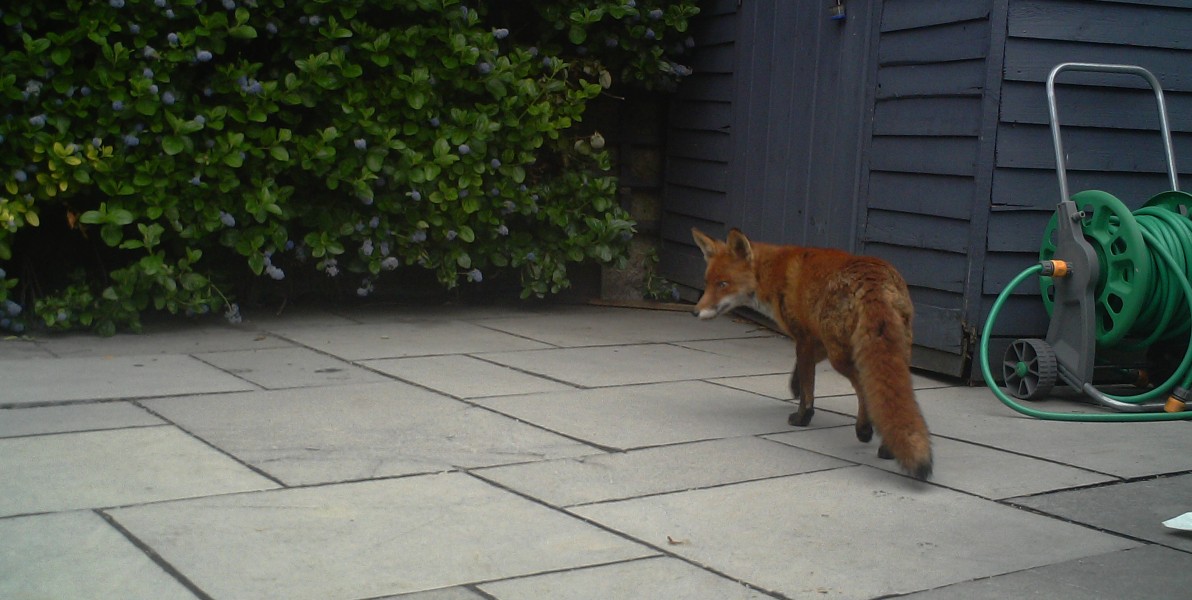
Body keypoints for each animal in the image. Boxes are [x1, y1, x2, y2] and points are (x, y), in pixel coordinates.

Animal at [696, 227, 934, 481]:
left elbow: (808, 386)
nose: (695, 312)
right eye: (707, 283)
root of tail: (873, 281)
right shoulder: (817, 340)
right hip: (894, 352)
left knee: (863, 387)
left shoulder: (803, 338)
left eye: (723, 284)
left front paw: (802, 417)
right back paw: (887, 446)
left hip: (841, 357)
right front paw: (794, 387)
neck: (773, 272)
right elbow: (800, 372)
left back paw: (864, 429)